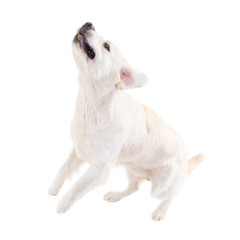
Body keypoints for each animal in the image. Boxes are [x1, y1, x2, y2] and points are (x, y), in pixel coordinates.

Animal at [48, 22, 204, 221]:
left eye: (106, 46)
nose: (88, 23)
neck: (93, 104)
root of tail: (185, 160)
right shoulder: (79, 148)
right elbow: (63, 169)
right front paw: (53, 188)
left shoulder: (100, 167)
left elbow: (77, 187)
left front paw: (63, 205)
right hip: (133, 169)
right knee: (134, 187)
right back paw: (115, 195)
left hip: (162, 185)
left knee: (173, 193)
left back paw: (160, 211)